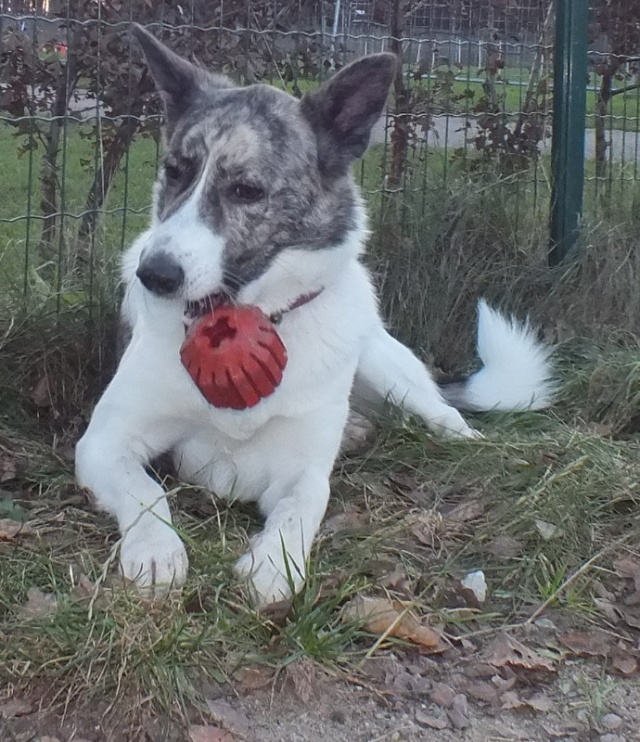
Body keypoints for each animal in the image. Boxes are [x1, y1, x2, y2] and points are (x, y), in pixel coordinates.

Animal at [75, 25, 554, 605]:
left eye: (247, 190)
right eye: (175, 172)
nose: (155, 274)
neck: (252, 315)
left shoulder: (301, 470)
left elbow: (302, 508)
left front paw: (273, 565)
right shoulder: (103, 443)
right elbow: (145, 490)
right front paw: (155, 549)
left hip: (386, 366)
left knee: (446, 414)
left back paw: (475, 442)